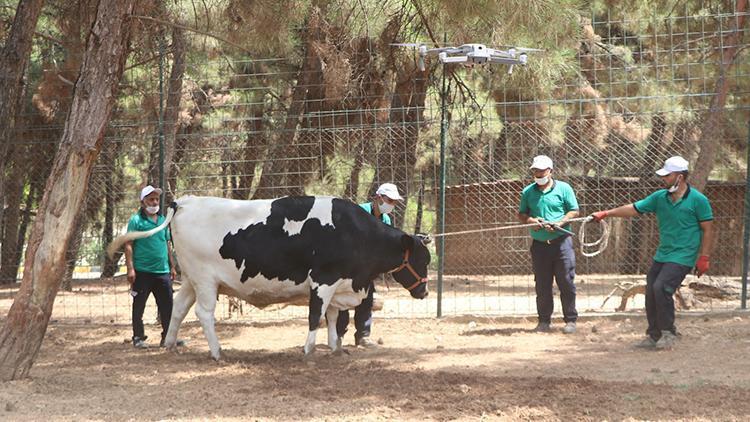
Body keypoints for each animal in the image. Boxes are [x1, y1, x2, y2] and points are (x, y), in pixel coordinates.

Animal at [108, 195, 432, 360]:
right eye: (422, 259)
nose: (425, 293)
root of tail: (185, 201)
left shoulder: (339, 283)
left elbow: (331, 316)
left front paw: (335, 347)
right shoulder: (323, 280)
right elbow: (316, 315)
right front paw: (309, 349)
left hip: (190, 278)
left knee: (178, 308)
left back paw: (171, 344)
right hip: (205, 279)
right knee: (203, 313)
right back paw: (216, 352)